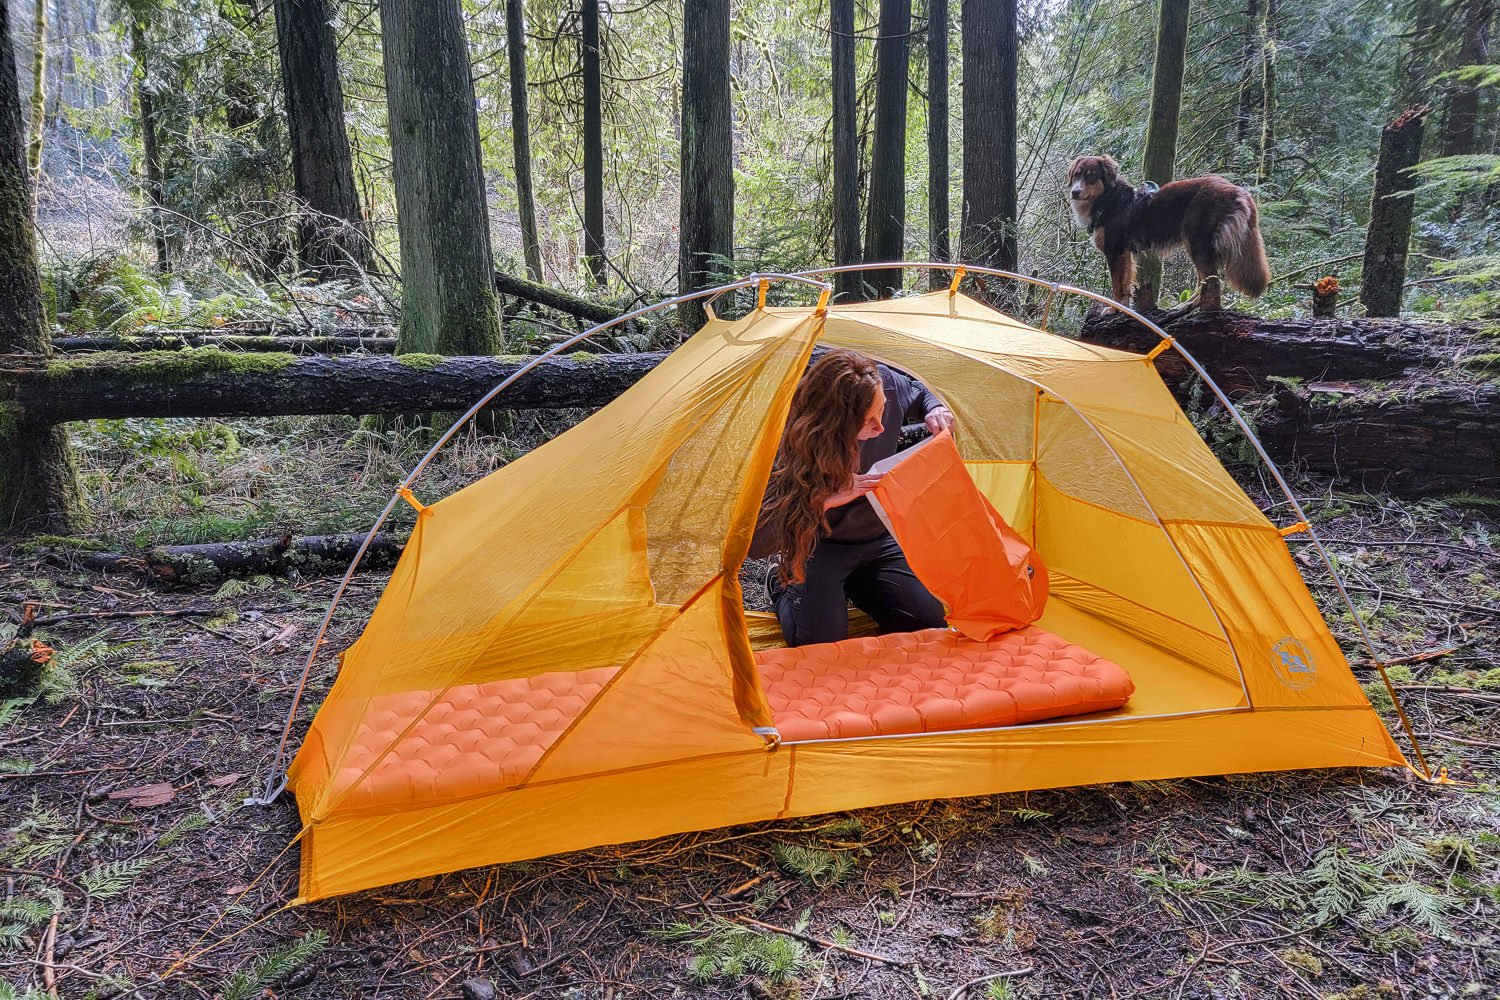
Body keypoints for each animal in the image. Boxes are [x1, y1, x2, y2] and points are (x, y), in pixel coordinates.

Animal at [1068, 154, 1266, 313]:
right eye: (1076, 174)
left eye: (1091, 175)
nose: (1075, 192)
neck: (1108, 199)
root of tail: (1238, 190)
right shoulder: (1125, 254)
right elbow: (1125, 283)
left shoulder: (1115, 251)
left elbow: (1118, 285)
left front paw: (1113, 310)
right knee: (1204, 281)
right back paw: (1187, 306)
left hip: (1197, 242)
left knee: (1213, 282)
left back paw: (1206, 311)